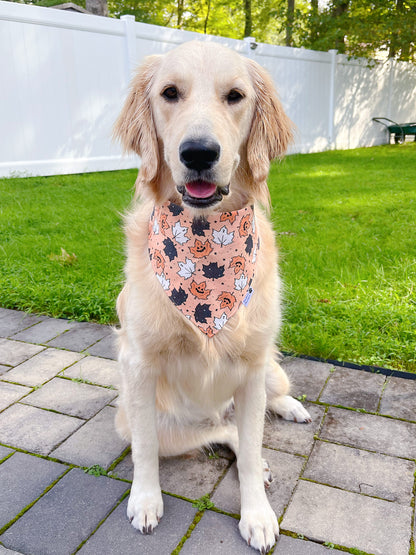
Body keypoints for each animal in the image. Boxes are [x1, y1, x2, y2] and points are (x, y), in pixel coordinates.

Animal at [113, 41, 308, 552]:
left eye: (235, 96)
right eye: (169, 93)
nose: (199, 152)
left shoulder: (254, 366)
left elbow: (254, 441)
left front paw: (257, 515)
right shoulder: (137, 367)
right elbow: (145, 449)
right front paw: (146, 501)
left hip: (270, 370)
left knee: (265, 408)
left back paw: (291, 410)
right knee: (225, 431)